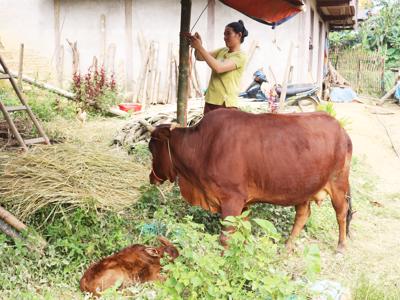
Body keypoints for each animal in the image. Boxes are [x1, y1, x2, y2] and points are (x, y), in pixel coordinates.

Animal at [147, 109, 354, 252]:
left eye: (152, 148)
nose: (151, 177)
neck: (203, 147)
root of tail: (342, 131)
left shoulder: (232, 200)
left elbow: (226, 238)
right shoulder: (243, 203)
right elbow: (242, 232)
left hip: (338, 182)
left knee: (341, 212)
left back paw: (341, 246)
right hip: (304, 188)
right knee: (303, 215)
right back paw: (287, 247)